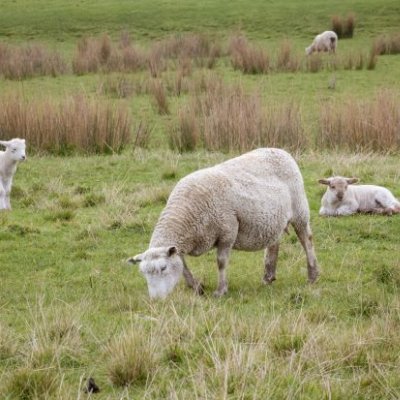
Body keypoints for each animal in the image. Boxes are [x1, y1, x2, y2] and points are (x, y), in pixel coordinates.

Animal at [127, 148, 318, 298]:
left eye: (163, 268)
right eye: (143, 273)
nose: (156, 300)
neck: (186, 213)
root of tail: (281, 151)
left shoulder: (227, 231)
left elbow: (221, 262)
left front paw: (221, 290)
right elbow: (184, 267)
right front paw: (197, 288)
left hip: (300, 211)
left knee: (306, 240)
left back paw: (313, 275)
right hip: (273, 218)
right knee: (274, 244)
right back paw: (268, 277)